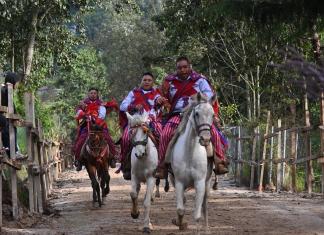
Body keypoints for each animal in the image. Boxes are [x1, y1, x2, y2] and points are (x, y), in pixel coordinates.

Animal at [166, 92, 216, 231]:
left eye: (213, 115)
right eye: (197, 113)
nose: (205, 139)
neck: (189, 152)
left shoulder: (200, 182)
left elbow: (197, 215)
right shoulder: (179, 182)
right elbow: (180, 209)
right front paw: (180, 223)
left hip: (207, 183)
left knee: (204, 204)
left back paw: (207, 228)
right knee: (183, 200)